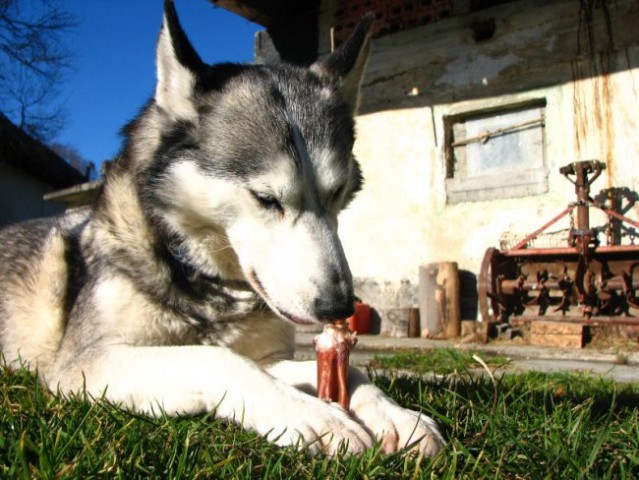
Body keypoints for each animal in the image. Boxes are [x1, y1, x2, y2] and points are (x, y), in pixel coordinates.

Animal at [0, 0, 444, 456]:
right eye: (266, 198)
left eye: (338, 192)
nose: (339, 307)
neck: (202, 279)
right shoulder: (82, 363)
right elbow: (215, 357)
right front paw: (311, 413)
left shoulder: (271, 357)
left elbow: (348, 371)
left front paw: (394, 413)